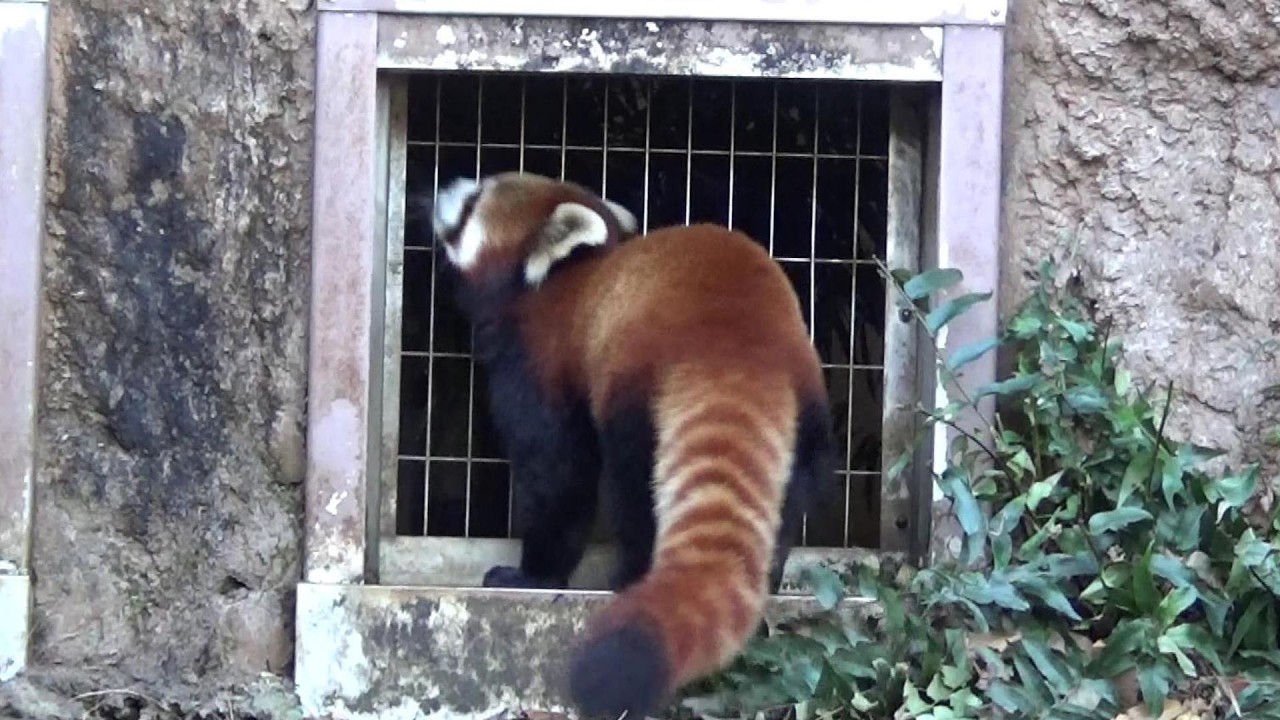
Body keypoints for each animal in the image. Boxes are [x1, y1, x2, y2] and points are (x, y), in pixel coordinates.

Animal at [426, 171, 836, 719]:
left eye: (474, 202)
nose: (447, 185)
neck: (553, 286)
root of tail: (738, 350)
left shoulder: (540, 363)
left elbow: (557, 475)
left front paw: (532, 574)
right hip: (808, 409)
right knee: (795, 493)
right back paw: (768, 575)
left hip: (636, 391)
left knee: (632, 490)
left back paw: (630, 576)